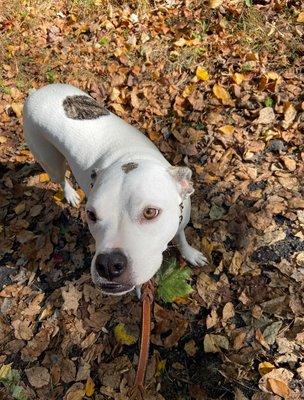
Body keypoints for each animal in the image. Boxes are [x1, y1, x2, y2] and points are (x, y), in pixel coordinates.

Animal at [23, 84, 207, 296]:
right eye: (91, 215)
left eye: (150, 212)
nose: (109, 265)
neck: (132, 157)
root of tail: (37, 92)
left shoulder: (181, 219)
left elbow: (181, 236)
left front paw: (190, 253)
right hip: (49, 160)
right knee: (60, 178)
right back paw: (69, 194)